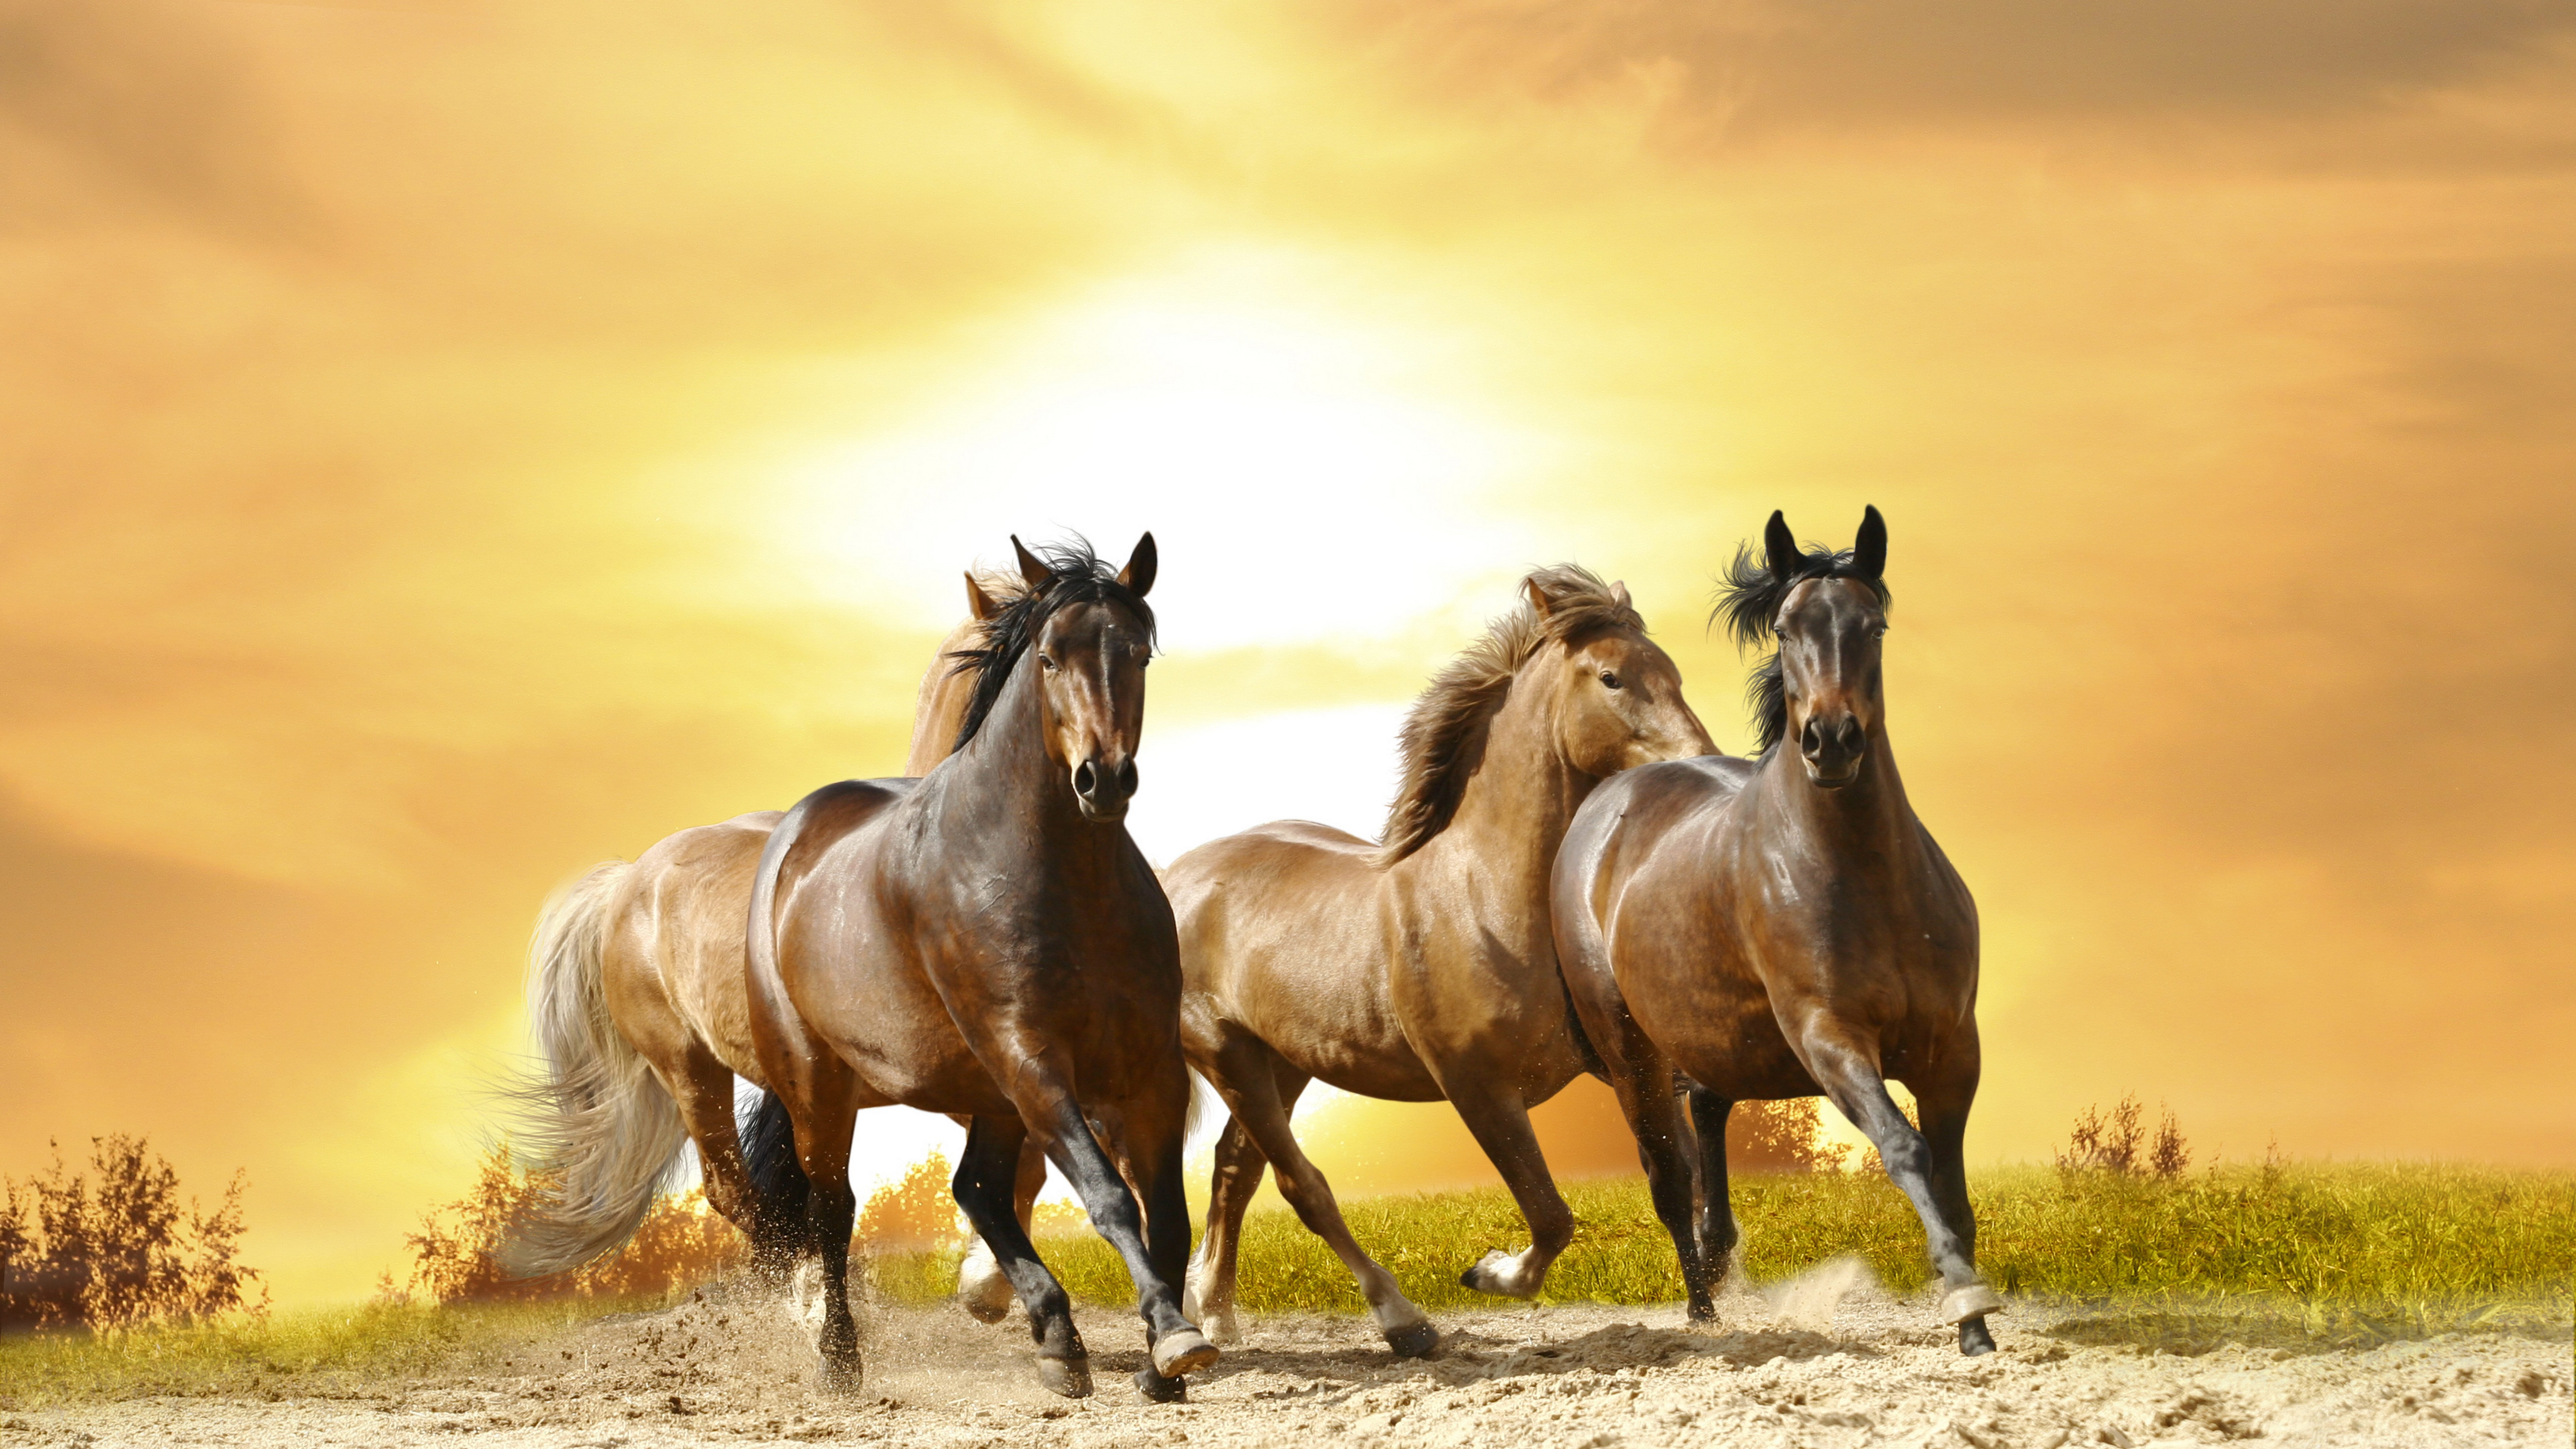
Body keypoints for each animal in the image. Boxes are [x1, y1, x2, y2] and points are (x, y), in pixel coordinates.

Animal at [744, 534, 1215, 1402]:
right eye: (1050, 657)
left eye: (1137, 652)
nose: (1104, 779)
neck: (1063, 880)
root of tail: (792, 839)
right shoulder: (1032, 1057)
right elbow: (1109, 1198)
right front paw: (1173, 1338)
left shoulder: (1150, 1069)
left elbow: (1166, 1212)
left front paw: (1162, 1361)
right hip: (823, 1088)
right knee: (835, 1210)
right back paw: (840, 1360)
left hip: (987, 1092)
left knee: (977, 1189)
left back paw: (1058, 1340)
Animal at [1163, 566, 1716, 1357]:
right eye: (1612, 677)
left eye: (1672, 671)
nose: (1699, 763)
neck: (1486, 897)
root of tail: (1176, 878)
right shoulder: (1477, 1087)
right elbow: (1552, 1217)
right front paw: (1488, 1272)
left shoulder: (1631, 1064)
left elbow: (1676, 1181)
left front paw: (1712, 1309)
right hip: (1228, 1056)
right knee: (1302, 1186)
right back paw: (1403, 1322)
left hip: (1283, 1064)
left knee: (1235, 1172)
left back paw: (1215, 1311)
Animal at [1548, 506, 2004, 1356]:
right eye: (1788, 629)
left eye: (1873, 624)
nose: (1831, 741)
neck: (1866, 878)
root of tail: (1607, 800)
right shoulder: (1830, 1038)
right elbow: (1906, 1149)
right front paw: (1966, 1304)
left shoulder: (1953, 1049)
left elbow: (1953, 1184)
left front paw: (1975, 1316)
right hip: (1631, 1052)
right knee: (1669, 1177)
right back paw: (1703, 1313)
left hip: (1715, 1036)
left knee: (1707, 1119)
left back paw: (1719, 1259)